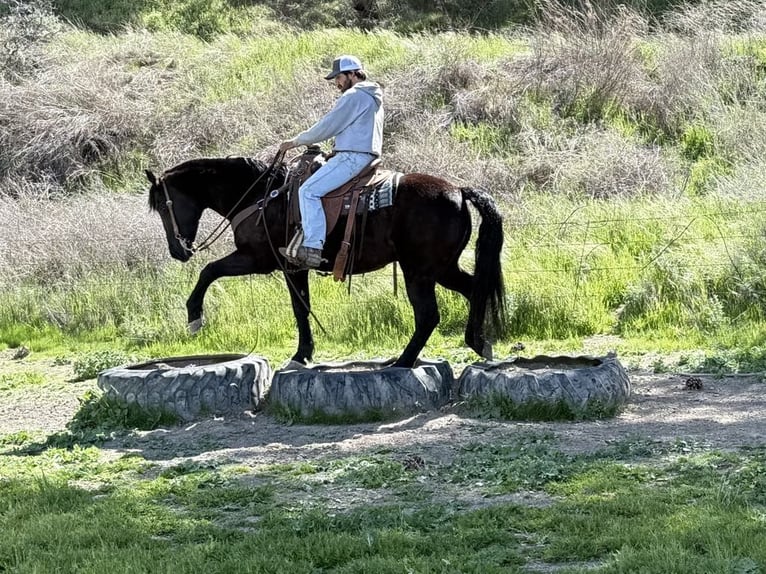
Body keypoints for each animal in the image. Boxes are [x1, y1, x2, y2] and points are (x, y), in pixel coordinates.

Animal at [145, 154, 509, 368]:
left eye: (163, 206)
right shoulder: (293, 268)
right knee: (475, 289)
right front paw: (304, 353)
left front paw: (194, 316)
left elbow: (210, 271)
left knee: (428, 315)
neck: (260, 196)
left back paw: (403, 361)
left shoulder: (259, 260)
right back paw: (478, 343)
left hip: (418, 272)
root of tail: (459, 191)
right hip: (442, 269)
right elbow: (302, 307)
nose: (178, 252)